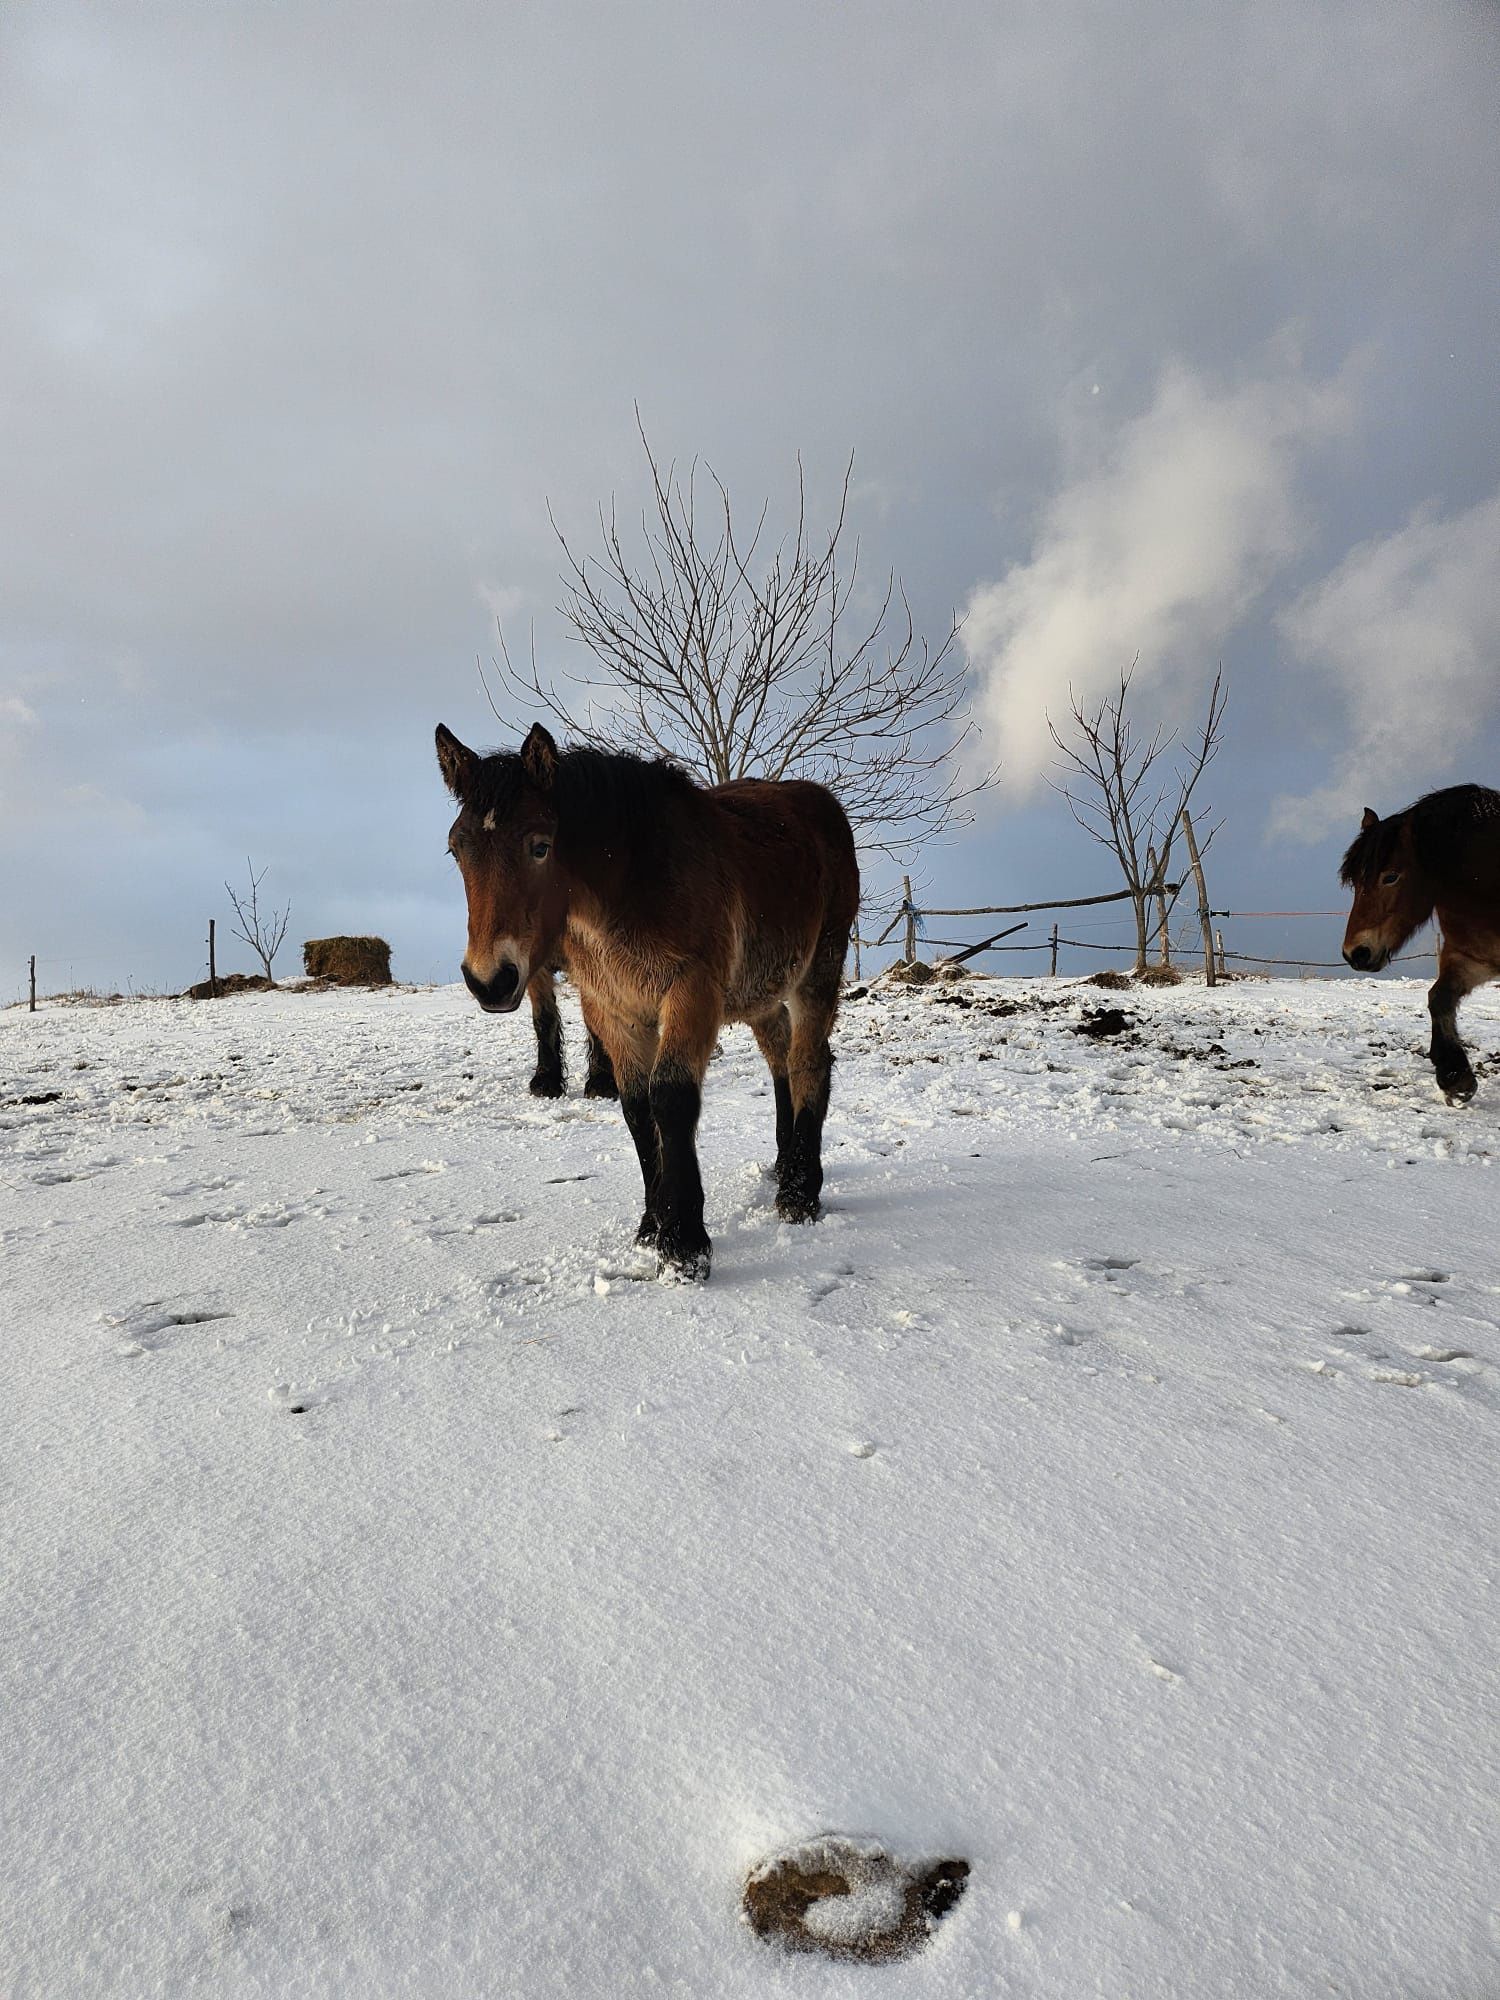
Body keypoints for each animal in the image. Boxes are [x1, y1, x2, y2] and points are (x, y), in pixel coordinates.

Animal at [434, 728, 856, 1272]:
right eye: (456, 849)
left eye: (540, 846)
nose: (490, 980)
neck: (635, 884)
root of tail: (821, 803)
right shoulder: (611, 1006)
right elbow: (637, 1109)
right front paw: (653, 1226)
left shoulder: (690, 993)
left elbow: (671, 1099)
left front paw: (684, 1244)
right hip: (759, 993)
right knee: (780, 1055)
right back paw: (784, 1168)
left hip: (818, 970)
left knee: (809, 1062)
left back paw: (800, 1193)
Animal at [1344, 784, 1496, 1104]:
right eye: (1354, 882)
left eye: (1391, 877)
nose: (1355, 953)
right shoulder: (1472, 957)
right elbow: (1438, 999)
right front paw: (1455, 1077)